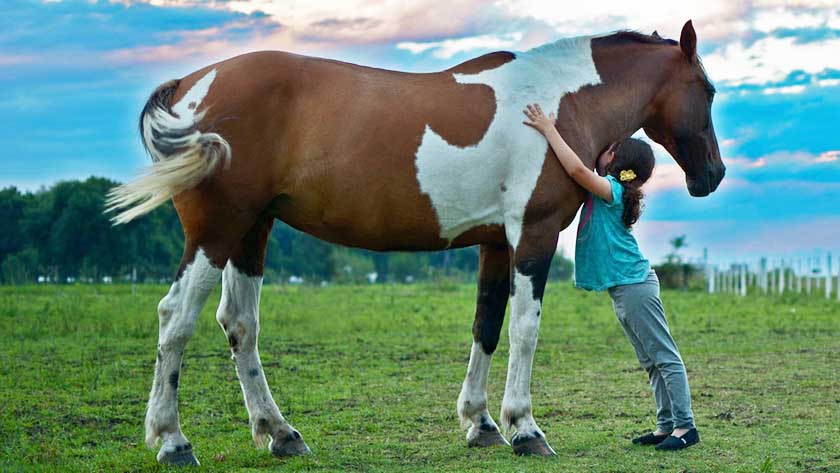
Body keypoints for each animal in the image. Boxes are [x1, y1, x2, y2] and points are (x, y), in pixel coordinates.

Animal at [106, 19, 720, 464]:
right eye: (709, 90)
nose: (711, 175)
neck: (557, 103)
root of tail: (191, 85)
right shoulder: (534, 235)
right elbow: (525, 331)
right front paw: (524, 428)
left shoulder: (496, 243)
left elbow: (487, 327)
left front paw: (481, 424)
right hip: (216, 231)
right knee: (175, 319)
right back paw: (172, 441)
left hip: (251, 231)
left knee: (239, 325)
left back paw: (280, 434)